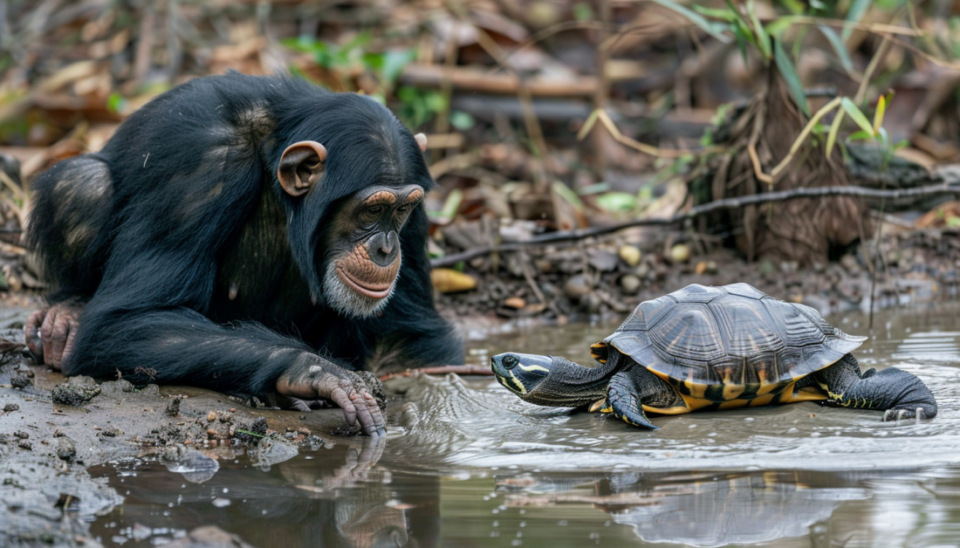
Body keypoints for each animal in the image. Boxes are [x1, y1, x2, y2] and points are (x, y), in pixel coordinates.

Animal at [25, 70, 464, 434]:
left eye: (401, 210)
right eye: (372, 210)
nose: (386, 248)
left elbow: (404, 338)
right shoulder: (200, 167)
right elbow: (126, 318)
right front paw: (312, 370)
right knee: (83, 184)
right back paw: (67, 314)